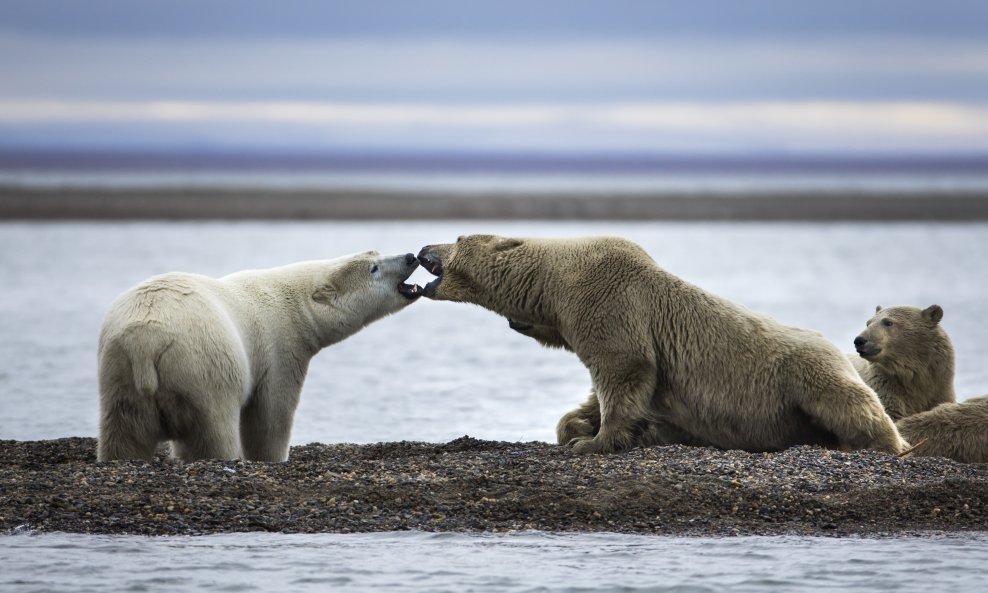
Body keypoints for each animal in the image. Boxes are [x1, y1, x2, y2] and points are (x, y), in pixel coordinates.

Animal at [98, 250, 422, 462]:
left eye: (377, 253)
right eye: (373, 268)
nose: (411, 256)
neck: (290, 299)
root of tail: (144, 340)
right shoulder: (278, 347)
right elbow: (271, 413)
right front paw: (272, 457)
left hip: (119, 371)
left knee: (124, 432)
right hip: (202, 367)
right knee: (213, 428)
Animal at [412, 235, 908, 454]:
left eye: (456, 237)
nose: (421, 248)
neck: (557, 280)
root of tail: (834, 346)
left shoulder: (609, 300)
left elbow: (624, 367)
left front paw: (593, 441)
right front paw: (578, 426)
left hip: (806, 375)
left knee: (851, 405)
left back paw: (892, 444)